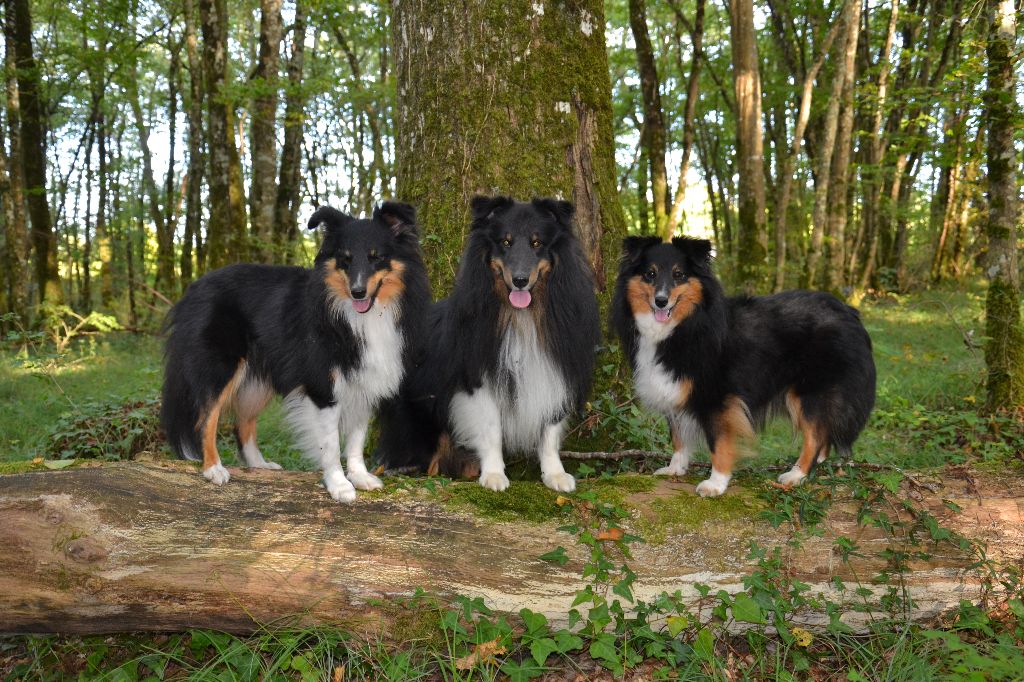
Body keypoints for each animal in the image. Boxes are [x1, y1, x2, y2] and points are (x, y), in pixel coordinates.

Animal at [158, 200, 428, 499]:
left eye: (376, 257)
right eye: (345, 259)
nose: (357, 292)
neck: (356, 316)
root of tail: (193, 289)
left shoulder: (364, 381)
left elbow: (357, 438)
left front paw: (360, 476)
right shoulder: (323, 386)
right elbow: (331, 443)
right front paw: (339, 485)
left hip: (258, 377)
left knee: (243, 422)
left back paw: (259, 464)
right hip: (221, 366)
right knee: (206, 417)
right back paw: (213, 468)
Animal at [610, 236, 876, 497]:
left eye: (679, 274)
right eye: (650, 274)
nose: (661, 301)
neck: (686, 324)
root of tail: (849, 312)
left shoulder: (717, 398)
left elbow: (718, 442)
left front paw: (716, 483)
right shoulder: (672, 388)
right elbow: (677, 434)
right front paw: (676, 468)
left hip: (809, 392)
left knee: (815, 435)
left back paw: (796, 475)